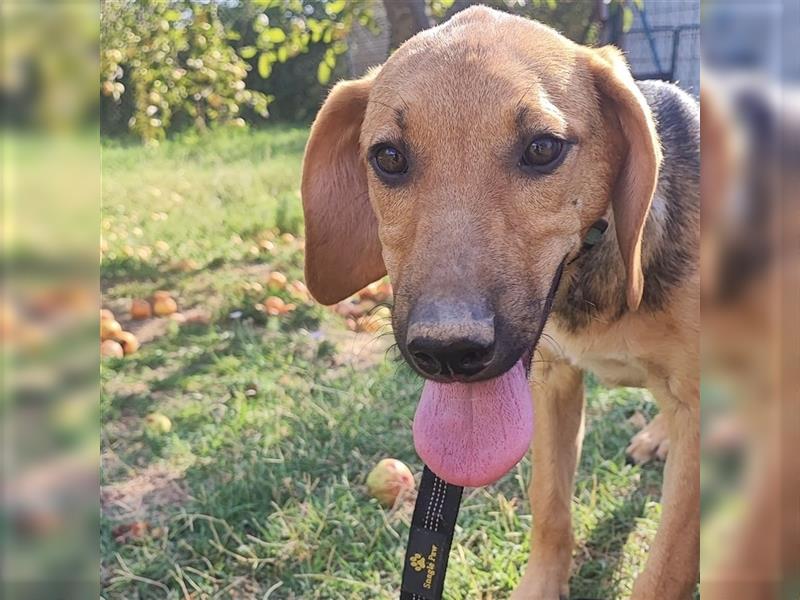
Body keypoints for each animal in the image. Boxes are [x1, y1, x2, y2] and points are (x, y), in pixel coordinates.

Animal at [304, 5, 696, 600]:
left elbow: (666, 568)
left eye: (543, 148)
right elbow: (550, 508)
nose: (448, 353)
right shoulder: (552, 382)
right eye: (387, 157)